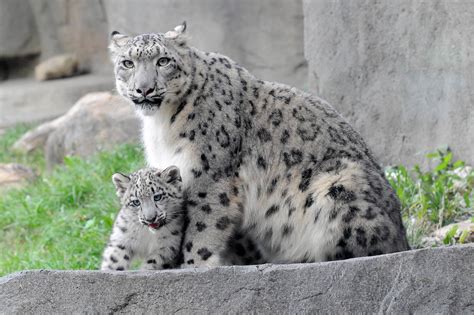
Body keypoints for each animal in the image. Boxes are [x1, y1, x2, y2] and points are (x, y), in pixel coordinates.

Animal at [109, 22, 410, 270]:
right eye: (127, 63)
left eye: (163, 61)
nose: (144, 89)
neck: (162, 124)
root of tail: (403, 236)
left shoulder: (211, 175)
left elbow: (203, 227)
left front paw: (193, 265)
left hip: (338, 185)